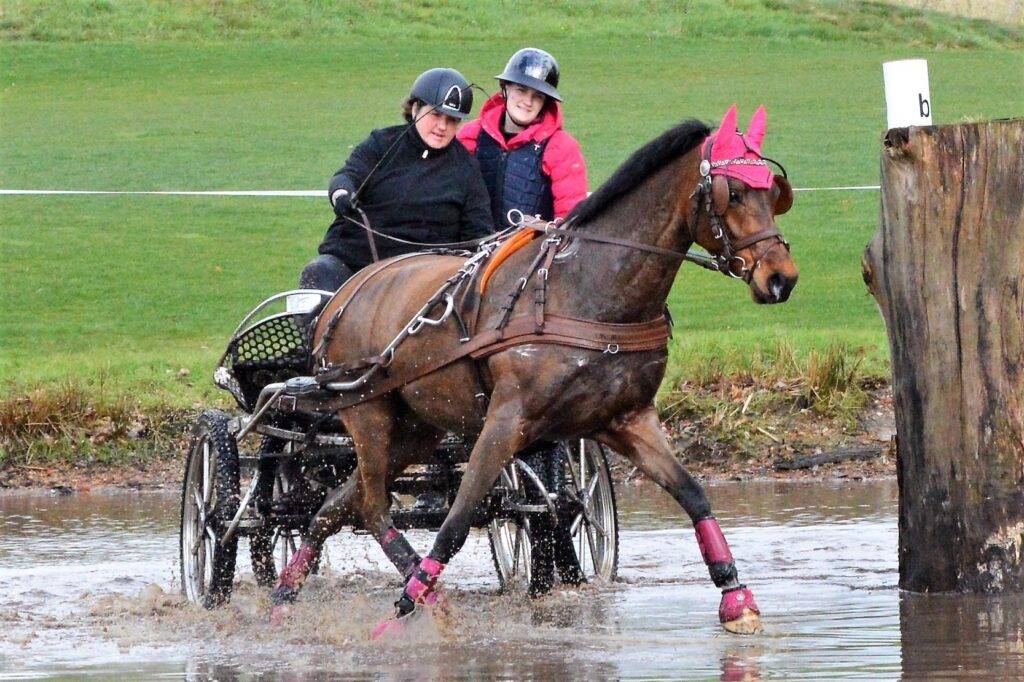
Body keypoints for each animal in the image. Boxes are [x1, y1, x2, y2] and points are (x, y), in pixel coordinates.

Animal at [268, 104, 799, 636]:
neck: (585, 287)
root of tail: (345, 294)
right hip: (368, 413)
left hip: (415, 428)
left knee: (336, 504)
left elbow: (693, 494)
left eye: (772, 191)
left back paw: (285, 595)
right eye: (733, 193)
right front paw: (404, 607)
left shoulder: (625, 420)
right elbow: (457, 521)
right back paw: (421, 598)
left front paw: (736, 596)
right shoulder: (506, 421)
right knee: (372, 507)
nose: (782, 278)